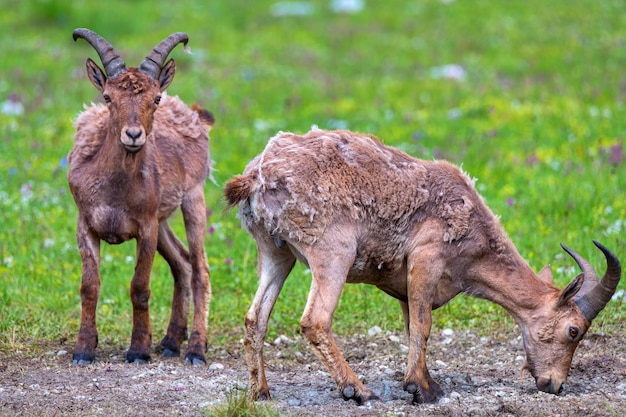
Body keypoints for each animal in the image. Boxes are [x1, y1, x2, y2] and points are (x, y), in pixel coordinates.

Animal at [67, 28, 211, 364]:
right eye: (107, 97)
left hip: (192, 199)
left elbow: (140, 287)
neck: (115, 191)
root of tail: (195, 117)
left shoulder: (145, 228)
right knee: (182, 263)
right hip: (163, 221)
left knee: (200, 270)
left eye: (155, 98)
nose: (133, 135)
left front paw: (138, 350)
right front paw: (84, 349)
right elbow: (89, 287)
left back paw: (196, 349)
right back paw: (171, 341)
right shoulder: (86, 225)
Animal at [223, 128, 620, 404]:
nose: (554, 384)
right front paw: (420, 390)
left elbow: (411, 323)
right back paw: (357, 390)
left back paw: (261, 392)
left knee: (255, 318)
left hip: (276, 253)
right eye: (573, 330)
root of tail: (255, 178)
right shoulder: (426, 259)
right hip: (333, 252)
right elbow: (424, 326)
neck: (476, 238)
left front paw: (427, 382)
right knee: (315, 321)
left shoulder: (405, 287)